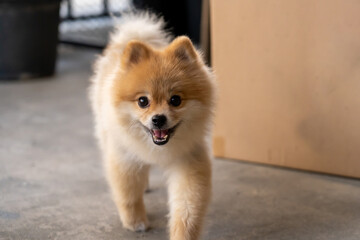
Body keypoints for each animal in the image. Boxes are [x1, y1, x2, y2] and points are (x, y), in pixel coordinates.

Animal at [89, 13, 215, 240]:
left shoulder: (188, 161)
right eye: (142, 101)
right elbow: (128, 194)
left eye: (175, 100)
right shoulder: (124, 158)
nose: (158, 119)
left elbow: (188, 209)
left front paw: (183, 234)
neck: (156, 149)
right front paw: (135, 222)